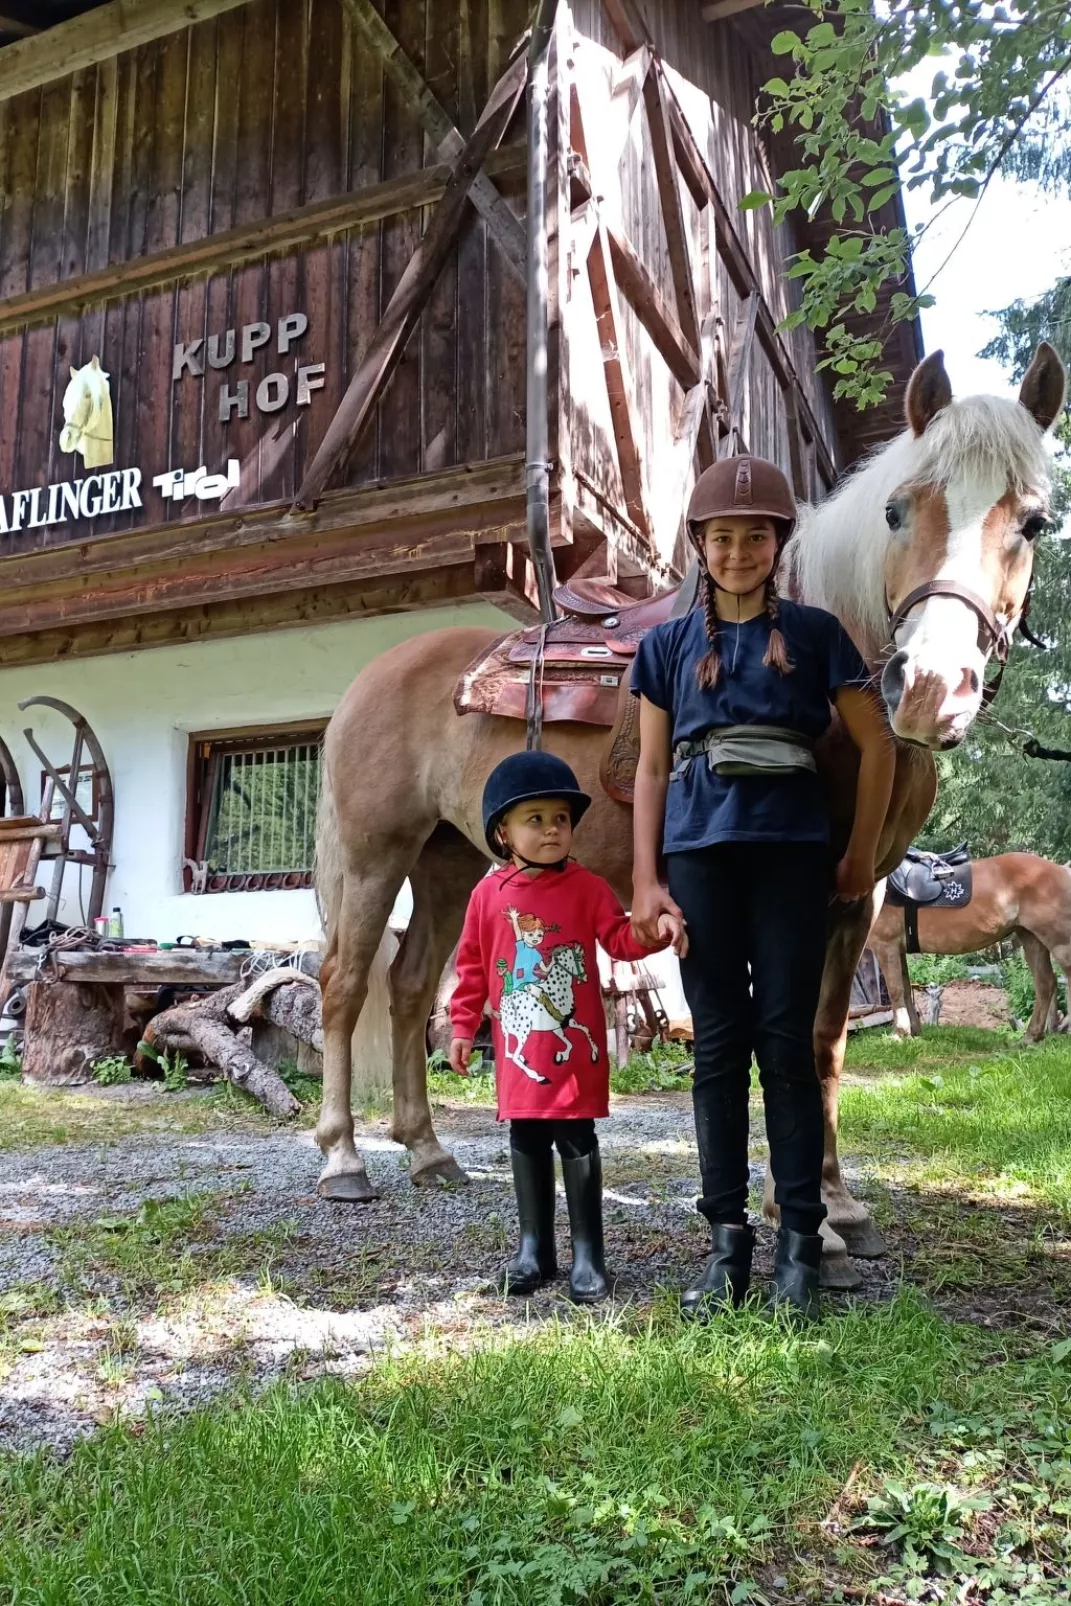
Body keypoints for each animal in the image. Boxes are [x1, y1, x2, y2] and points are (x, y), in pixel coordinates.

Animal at [873, 854, 1071, 1040]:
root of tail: (1062, 870)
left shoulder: (885, 945)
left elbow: (895, 990)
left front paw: (899, 1033)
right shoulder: (897, 949)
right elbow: (905, 990)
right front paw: (912, 1031)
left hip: (1058, 943)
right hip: (1031, 938)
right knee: (1045, 983)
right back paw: (1030, 1038)